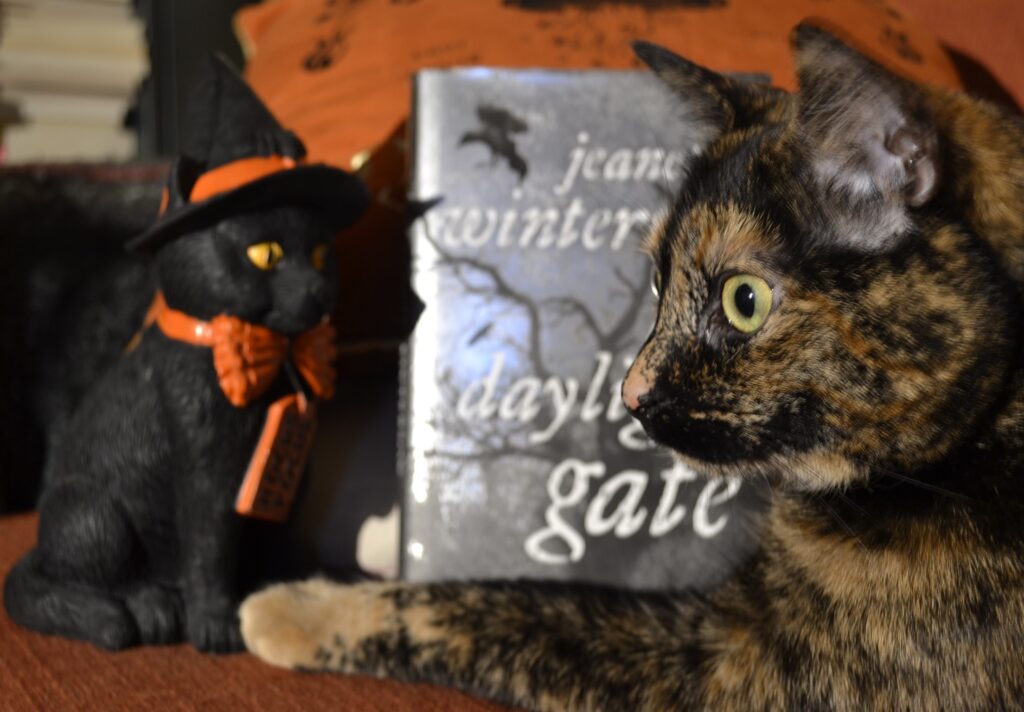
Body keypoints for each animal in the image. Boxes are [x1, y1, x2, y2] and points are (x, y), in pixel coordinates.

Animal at [237, 23, 1024, 712]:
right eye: (657, 280)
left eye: (743, 300)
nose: (631, 392)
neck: (974, 443)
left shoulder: (732, 672)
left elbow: (512, 607)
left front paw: (297, 608)